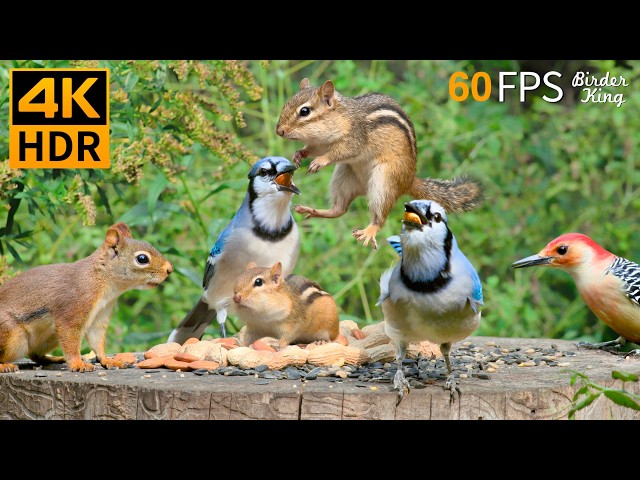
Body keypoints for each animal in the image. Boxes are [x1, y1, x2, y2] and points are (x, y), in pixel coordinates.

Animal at [0, 222, 173, 373]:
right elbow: (71, 340)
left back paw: (54, 359)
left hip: (50, 336)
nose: (169, 269)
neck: (103, 282)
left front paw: (108, 360)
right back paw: (5, 366)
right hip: (12, 335)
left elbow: (97, 341)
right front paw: (78, 364)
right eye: (142, 259)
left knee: (34, 355)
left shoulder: (100, 315)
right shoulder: (72, 310)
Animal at [276, 78, 484, 250]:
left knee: (378, 217)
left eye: (305, 111)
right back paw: (311, 210)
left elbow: (341, 152)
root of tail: (409, 179)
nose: (279, 131)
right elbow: (312, 149)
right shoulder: (319, 144)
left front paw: (320, 161)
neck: (342, 117)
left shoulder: (355, 139)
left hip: (383, 182)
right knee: (339, 210)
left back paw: (369, 231)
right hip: (344, 176)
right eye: (286, 104)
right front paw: (299, 155)